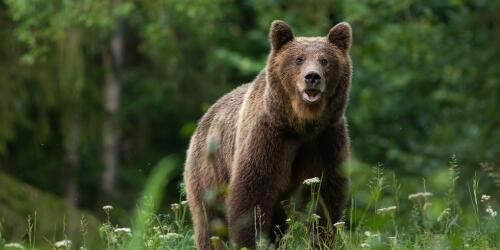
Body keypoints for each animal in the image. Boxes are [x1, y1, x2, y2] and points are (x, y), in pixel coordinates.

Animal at [184, 20, 352, 250]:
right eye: (298, 59)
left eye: (324, 60)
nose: (312, 77)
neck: (301, 124)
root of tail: (205, 116)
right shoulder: (268, 138)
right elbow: (252, 194)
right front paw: (252, 241)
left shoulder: (326, 139)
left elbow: (326, 196)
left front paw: (322, 240)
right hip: (208, 171)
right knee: (209, 221)